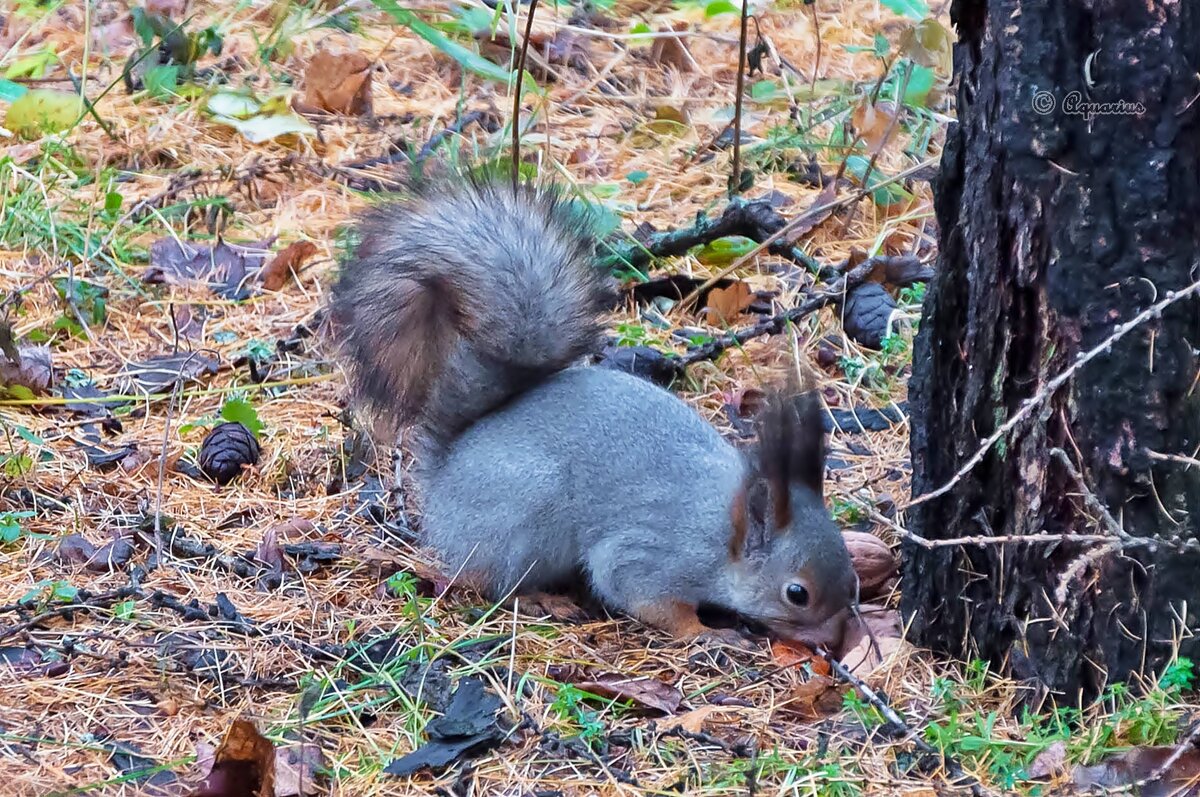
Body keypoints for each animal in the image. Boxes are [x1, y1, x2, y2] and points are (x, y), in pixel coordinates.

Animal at [328, 178, 859, 648]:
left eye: (852, 576)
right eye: (797, 593)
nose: (836, 642)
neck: (727, 528)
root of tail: (446, 473)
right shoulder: (654, 554)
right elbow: (643, 596)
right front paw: (706, 633)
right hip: (526, 518)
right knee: (491, 582)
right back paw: (540, 599)